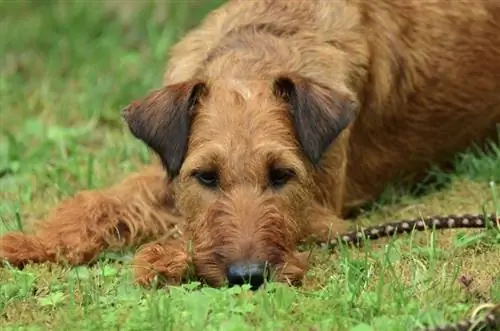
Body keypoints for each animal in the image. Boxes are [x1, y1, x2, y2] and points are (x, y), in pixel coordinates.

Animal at [0, 0, 500, 290]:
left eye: (281, 175)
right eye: (206, 176)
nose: (249, 276)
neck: (256, 51)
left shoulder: (322, 213)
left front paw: (163, 257)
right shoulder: (170, 169)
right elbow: (99, 203)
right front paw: (29, 243)